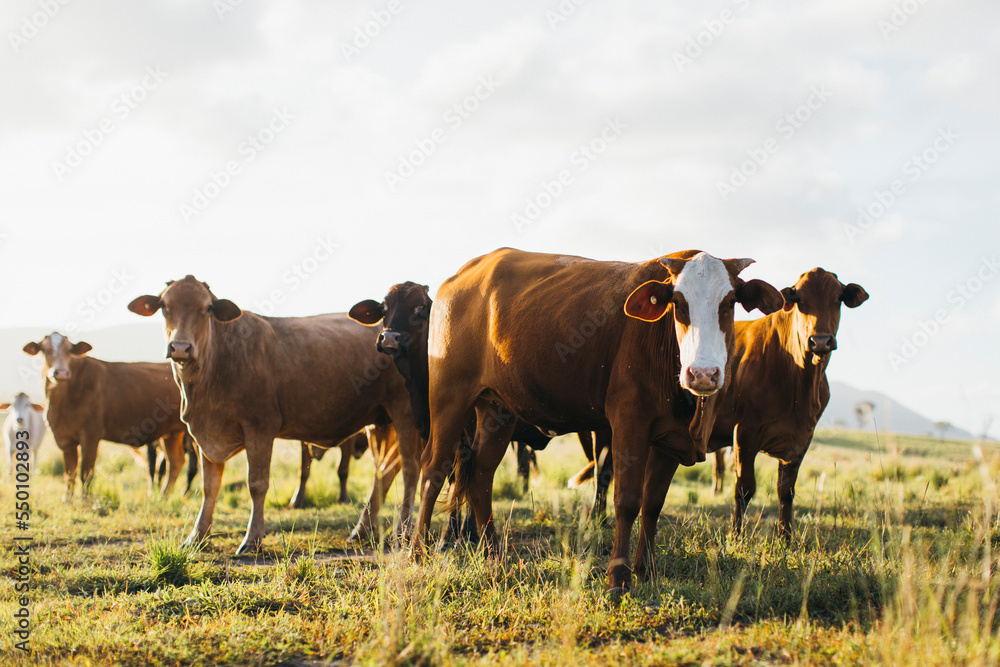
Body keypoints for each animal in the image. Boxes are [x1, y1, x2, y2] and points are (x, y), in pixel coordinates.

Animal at [22, 333, 189, 500]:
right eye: (45, 350)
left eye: (69, 350)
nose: (61, 372)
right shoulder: (65, 440)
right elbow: (69, 474)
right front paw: (67, 501)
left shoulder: (91, 436)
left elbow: (86, 474)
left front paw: (85, 501)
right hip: (172, 434)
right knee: (175, 462)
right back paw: (163, 498)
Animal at [127, 276, 422, 554]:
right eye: (164, 306)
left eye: (207, 308)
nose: (180, 347)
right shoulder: (205, 435)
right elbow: (209, 486)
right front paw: (196, 536)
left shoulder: (260, 428)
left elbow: (257, 484)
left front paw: (252, 538)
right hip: (380, 422)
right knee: (385, 470)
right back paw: (361, 529)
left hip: (405, 413)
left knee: (409, 468)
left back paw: (402, 530)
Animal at [411, 248, 782, 593]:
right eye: (677, 302)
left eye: (730, 302)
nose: (703, 374)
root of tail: (464, 274)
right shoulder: (628, 423)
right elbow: (627, 500)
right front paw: (618, 577)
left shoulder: (669, 439)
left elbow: (653, 504)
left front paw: (646, 570)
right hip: (449, 399)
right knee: (434, 469)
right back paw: (418, 552)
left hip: (497, 410)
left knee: (481, 476)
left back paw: (492, 554)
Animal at [706, 268, 868, 537]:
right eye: (800, 300)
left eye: (838, 298)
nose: (820, 341)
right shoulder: (745, 433)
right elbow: (744, 488)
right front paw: (736, 535)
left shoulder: (801, 439)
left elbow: (786, 492)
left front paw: (786, 537)